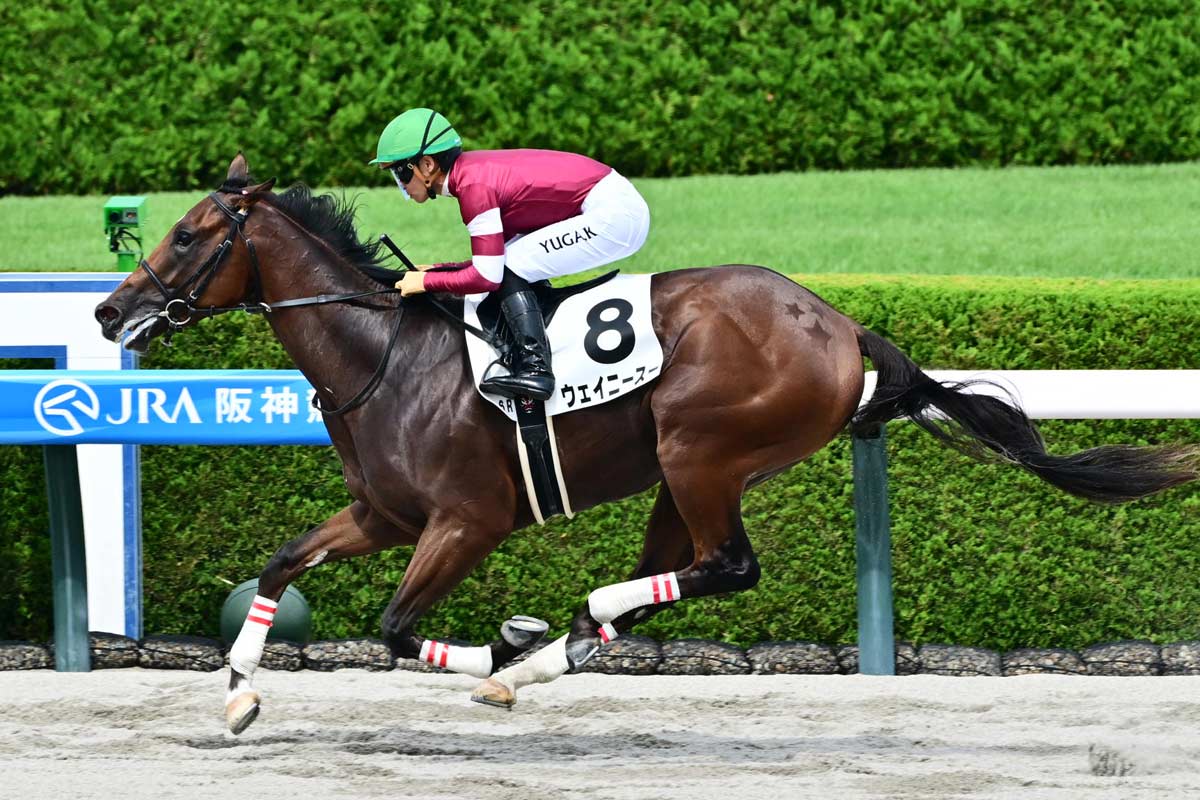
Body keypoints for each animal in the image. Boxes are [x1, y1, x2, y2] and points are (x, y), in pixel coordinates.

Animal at [95, 155, 1199, 734]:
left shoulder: (467, 521)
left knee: (726, 566)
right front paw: (240, 689)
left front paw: (499, 644)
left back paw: (552, 632)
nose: (109, 310)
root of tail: (843, 326)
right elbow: (283, 561)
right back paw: (558, 645)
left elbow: (398, 627)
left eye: (190, 234)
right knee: (680, 572)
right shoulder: (383, 512)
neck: (387, 358)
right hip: (680, 472)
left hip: (701, 448)